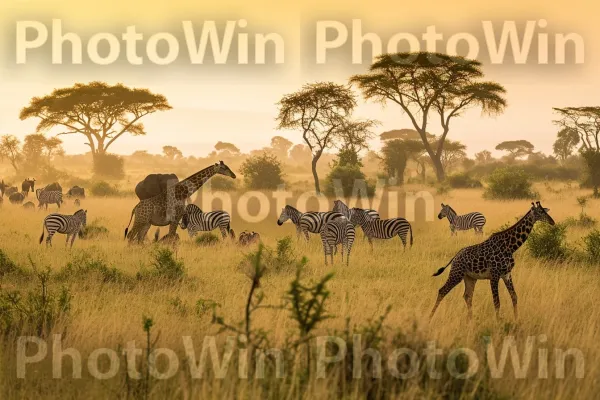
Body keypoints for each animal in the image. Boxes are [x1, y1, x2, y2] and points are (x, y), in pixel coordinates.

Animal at [428, 202, 556, 320]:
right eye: (540, 212)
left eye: (545, 211)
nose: (552, 222)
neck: (510, 247)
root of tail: (455, 257)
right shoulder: (494, 275)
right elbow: (497, 302)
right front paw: (498, 322)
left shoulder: (507, 274)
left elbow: (514, 297)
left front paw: (516, 319)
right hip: (456, 273)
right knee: (442, 291)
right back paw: (430, 317)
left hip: (470, 277)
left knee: (467, 296)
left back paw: (470, 319)